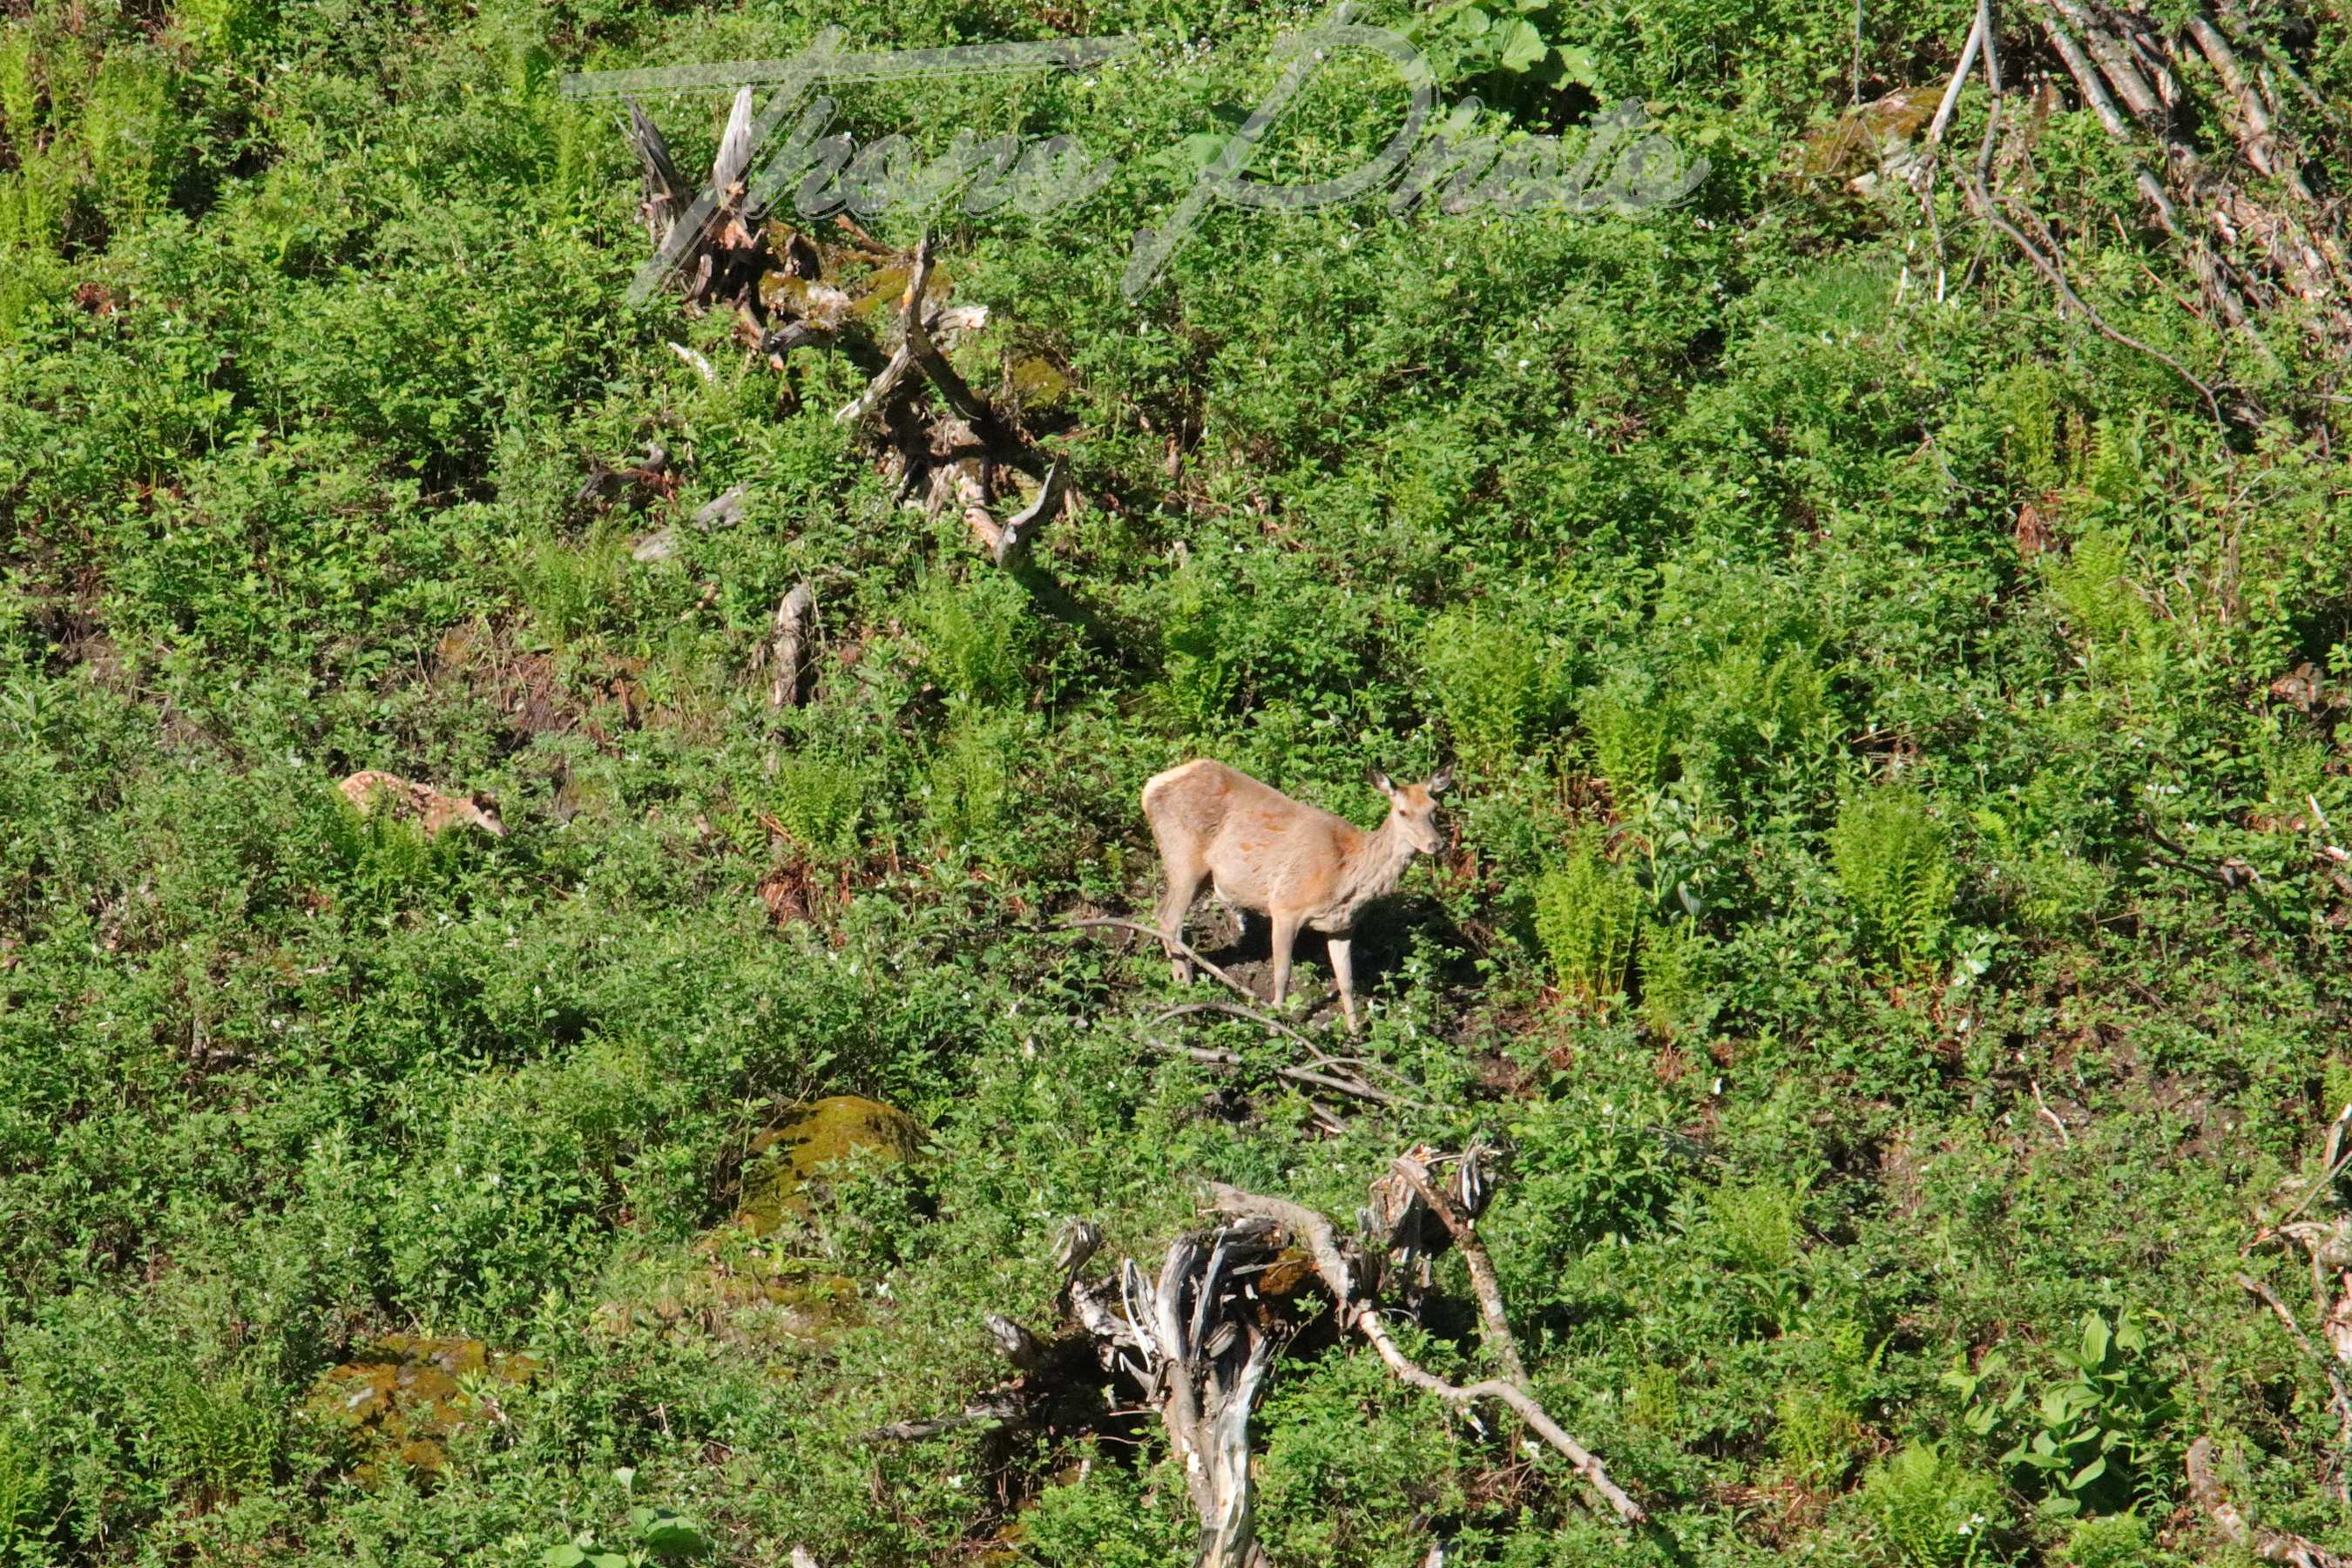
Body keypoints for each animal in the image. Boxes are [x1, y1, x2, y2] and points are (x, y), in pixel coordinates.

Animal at [336, 771, 505, 841]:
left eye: (501, 812)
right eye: (490, 816)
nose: (506, 831)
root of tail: (341, 786)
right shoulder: (424, 831)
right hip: (364, 808)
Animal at [1143, 756, 1449, 1030]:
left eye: (1434, 808)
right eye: (1403, 812)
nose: (1437, 844)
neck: (1346, 878)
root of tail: (1149, 788)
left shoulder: (1342, 926)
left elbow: (1346, 980)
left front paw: (1355, 1031)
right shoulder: (1285, 906)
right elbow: (1283, 974)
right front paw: (1275, 1023)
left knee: (1162, 913)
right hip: (1183, 856)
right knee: (1169, 918)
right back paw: (1185, 984)